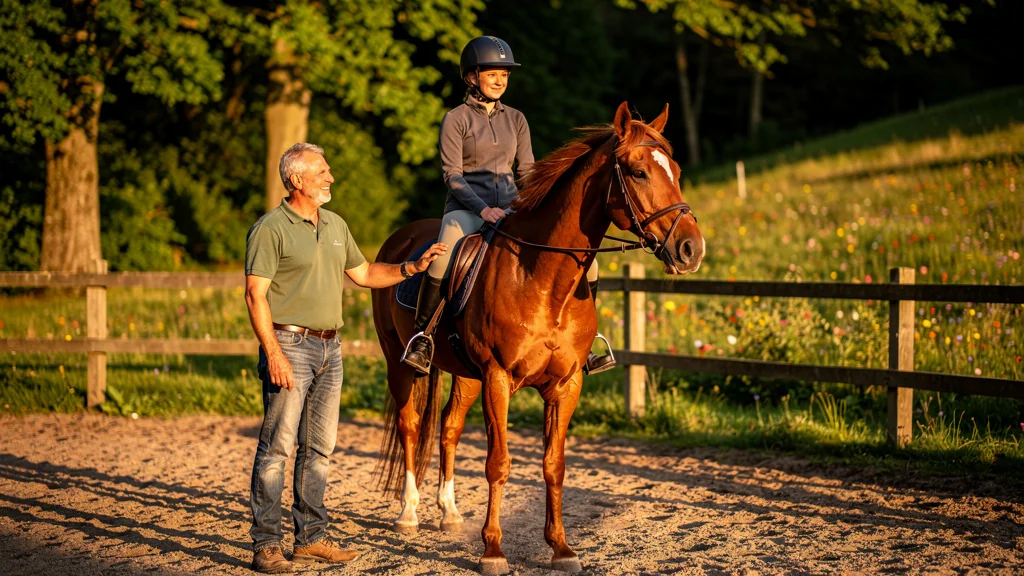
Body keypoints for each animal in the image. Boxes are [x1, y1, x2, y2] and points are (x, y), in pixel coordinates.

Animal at [370, 101, 705, 575]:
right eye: (638, 172)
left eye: (674, 169)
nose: (692, 249)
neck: (542, 278)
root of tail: (401, 238)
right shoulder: (497, 378)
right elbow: (498, 463)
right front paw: (492, 551)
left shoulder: (565, 384)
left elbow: (554, 465)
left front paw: (561, 548)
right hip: (400, 364)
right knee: (411, 427)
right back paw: (409, 513)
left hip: (464, 374)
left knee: (449, 428)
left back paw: (449, 513)